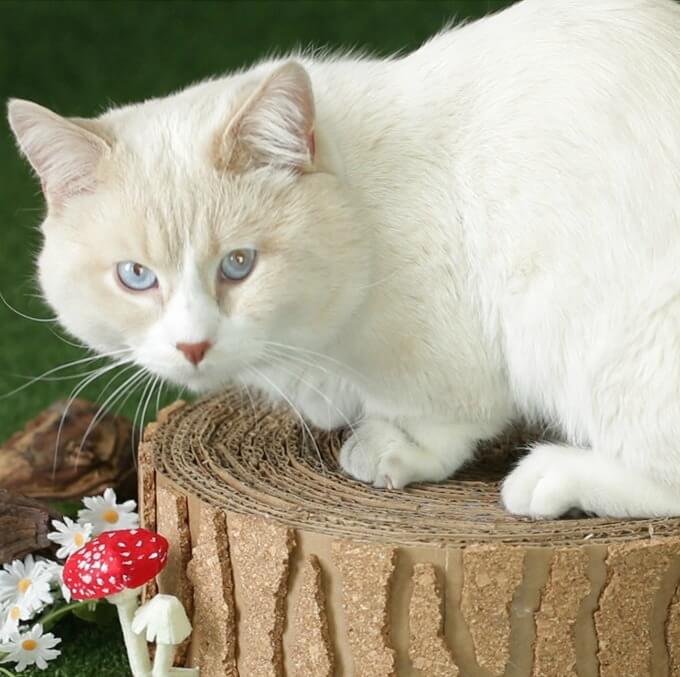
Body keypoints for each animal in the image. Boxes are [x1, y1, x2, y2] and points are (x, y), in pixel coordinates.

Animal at [7, 0, 680, 516]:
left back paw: (549, 476)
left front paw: (391, 450)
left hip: (585, 339)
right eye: (135, 276)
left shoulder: (445, 356)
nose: (193, 346)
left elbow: (439, 417)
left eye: (239, 264)